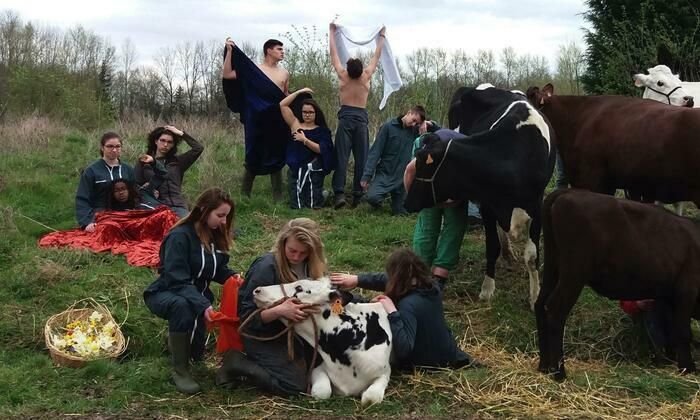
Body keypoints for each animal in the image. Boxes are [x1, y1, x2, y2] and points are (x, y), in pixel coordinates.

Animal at [252, 278, 394, 406]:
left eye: (299, 288)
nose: (258, 289)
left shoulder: (384, 373)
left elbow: (370, 398)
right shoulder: (317, 368)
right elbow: (321, 392)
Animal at [402, 84, 556, 308]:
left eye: (423, 166)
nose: (407, 202)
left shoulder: (536, 206)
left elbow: (532, 256)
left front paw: (535, 295)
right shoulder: (488, 205)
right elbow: (491, 247)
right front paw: (487, 289)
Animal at [540, 189, 700, 380]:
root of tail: (565, 192)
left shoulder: (669, 295)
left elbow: (672, 330)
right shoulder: (687, 291)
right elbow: (683, 331)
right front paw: (688, 367)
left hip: (553, 267)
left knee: (540, 304)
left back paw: (544, 366)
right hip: (574, 273)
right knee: (555, 309)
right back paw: (559, 372)